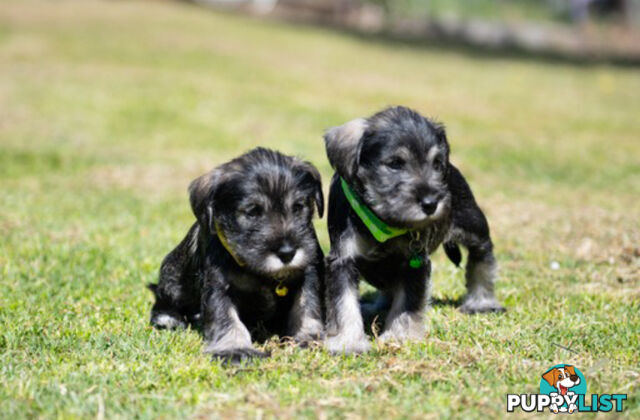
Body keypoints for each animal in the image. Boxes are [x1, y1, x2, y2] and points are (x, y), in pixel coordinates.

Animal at [149, 147, 324, 360]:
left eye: (298, 206)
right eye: (252, 211)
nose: (287, 253)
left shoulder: (308, 274)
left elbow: (307, 307)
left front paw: (309, 338)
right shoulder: (219, 287)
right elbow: (226, 317)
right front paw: (235, 349)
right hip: (172, 278)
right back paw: (169, 318)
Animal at [324, 106, 504, 354]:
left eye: (436, 163)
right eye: (395, 163)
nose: (431, 203)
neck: (383, 220)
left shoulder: (414, 263)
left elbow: (407, 304)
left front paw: (398, 337)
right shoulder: (342, 259)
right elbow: (344, 304)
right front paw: (348, 341)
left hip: (474, 226)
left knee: (482, 257)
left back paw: (482, 302)